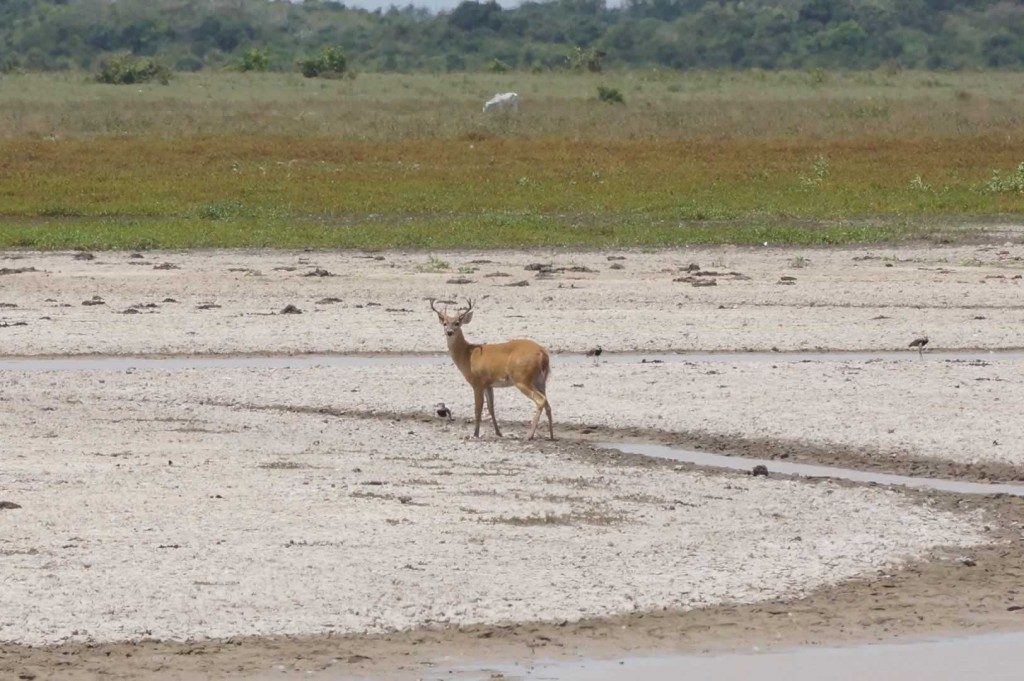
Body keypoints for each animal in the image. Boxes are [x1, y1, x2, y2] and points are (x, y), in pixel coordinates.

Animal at [430, 299, 557, 440]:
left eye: (457, 323)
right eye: (445, 323)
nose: (449, 332)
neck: (468, 355)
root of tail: (542, 353)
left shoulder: (477, 383)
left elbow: (478, 409)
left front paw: (475, 434)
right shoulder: (488, 384)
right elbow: (491, 408)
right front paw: (498, 433)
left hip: (522, 379)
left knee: (540, 400)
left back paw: (529, 435)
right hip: (541, 380)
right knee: (548, 404)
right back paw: (551, 436)